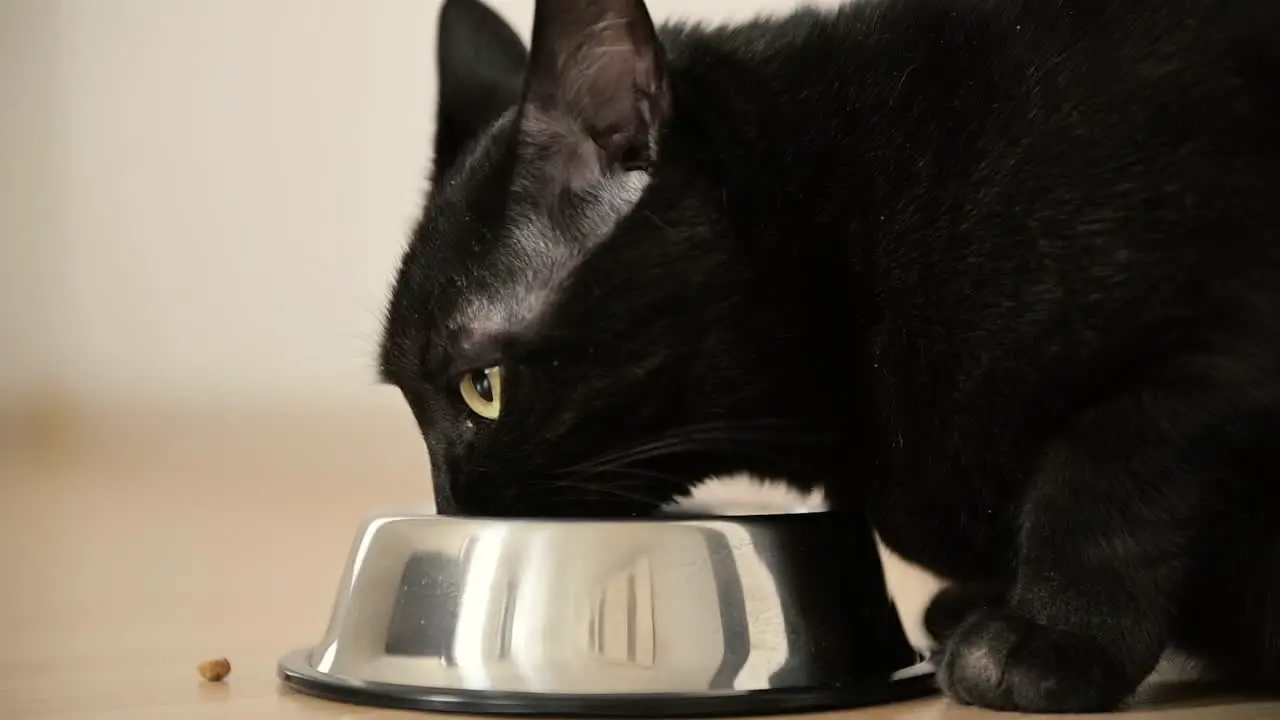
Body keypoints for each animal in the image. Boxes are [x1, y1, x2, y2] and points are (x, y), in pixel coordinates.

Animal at [376, 0, 1280, 707]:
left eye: (482, 388)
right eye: (406, 398)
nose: (452, 504)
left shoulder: (1211, 349)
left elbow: (1105, 483)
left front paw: (1049, 638)